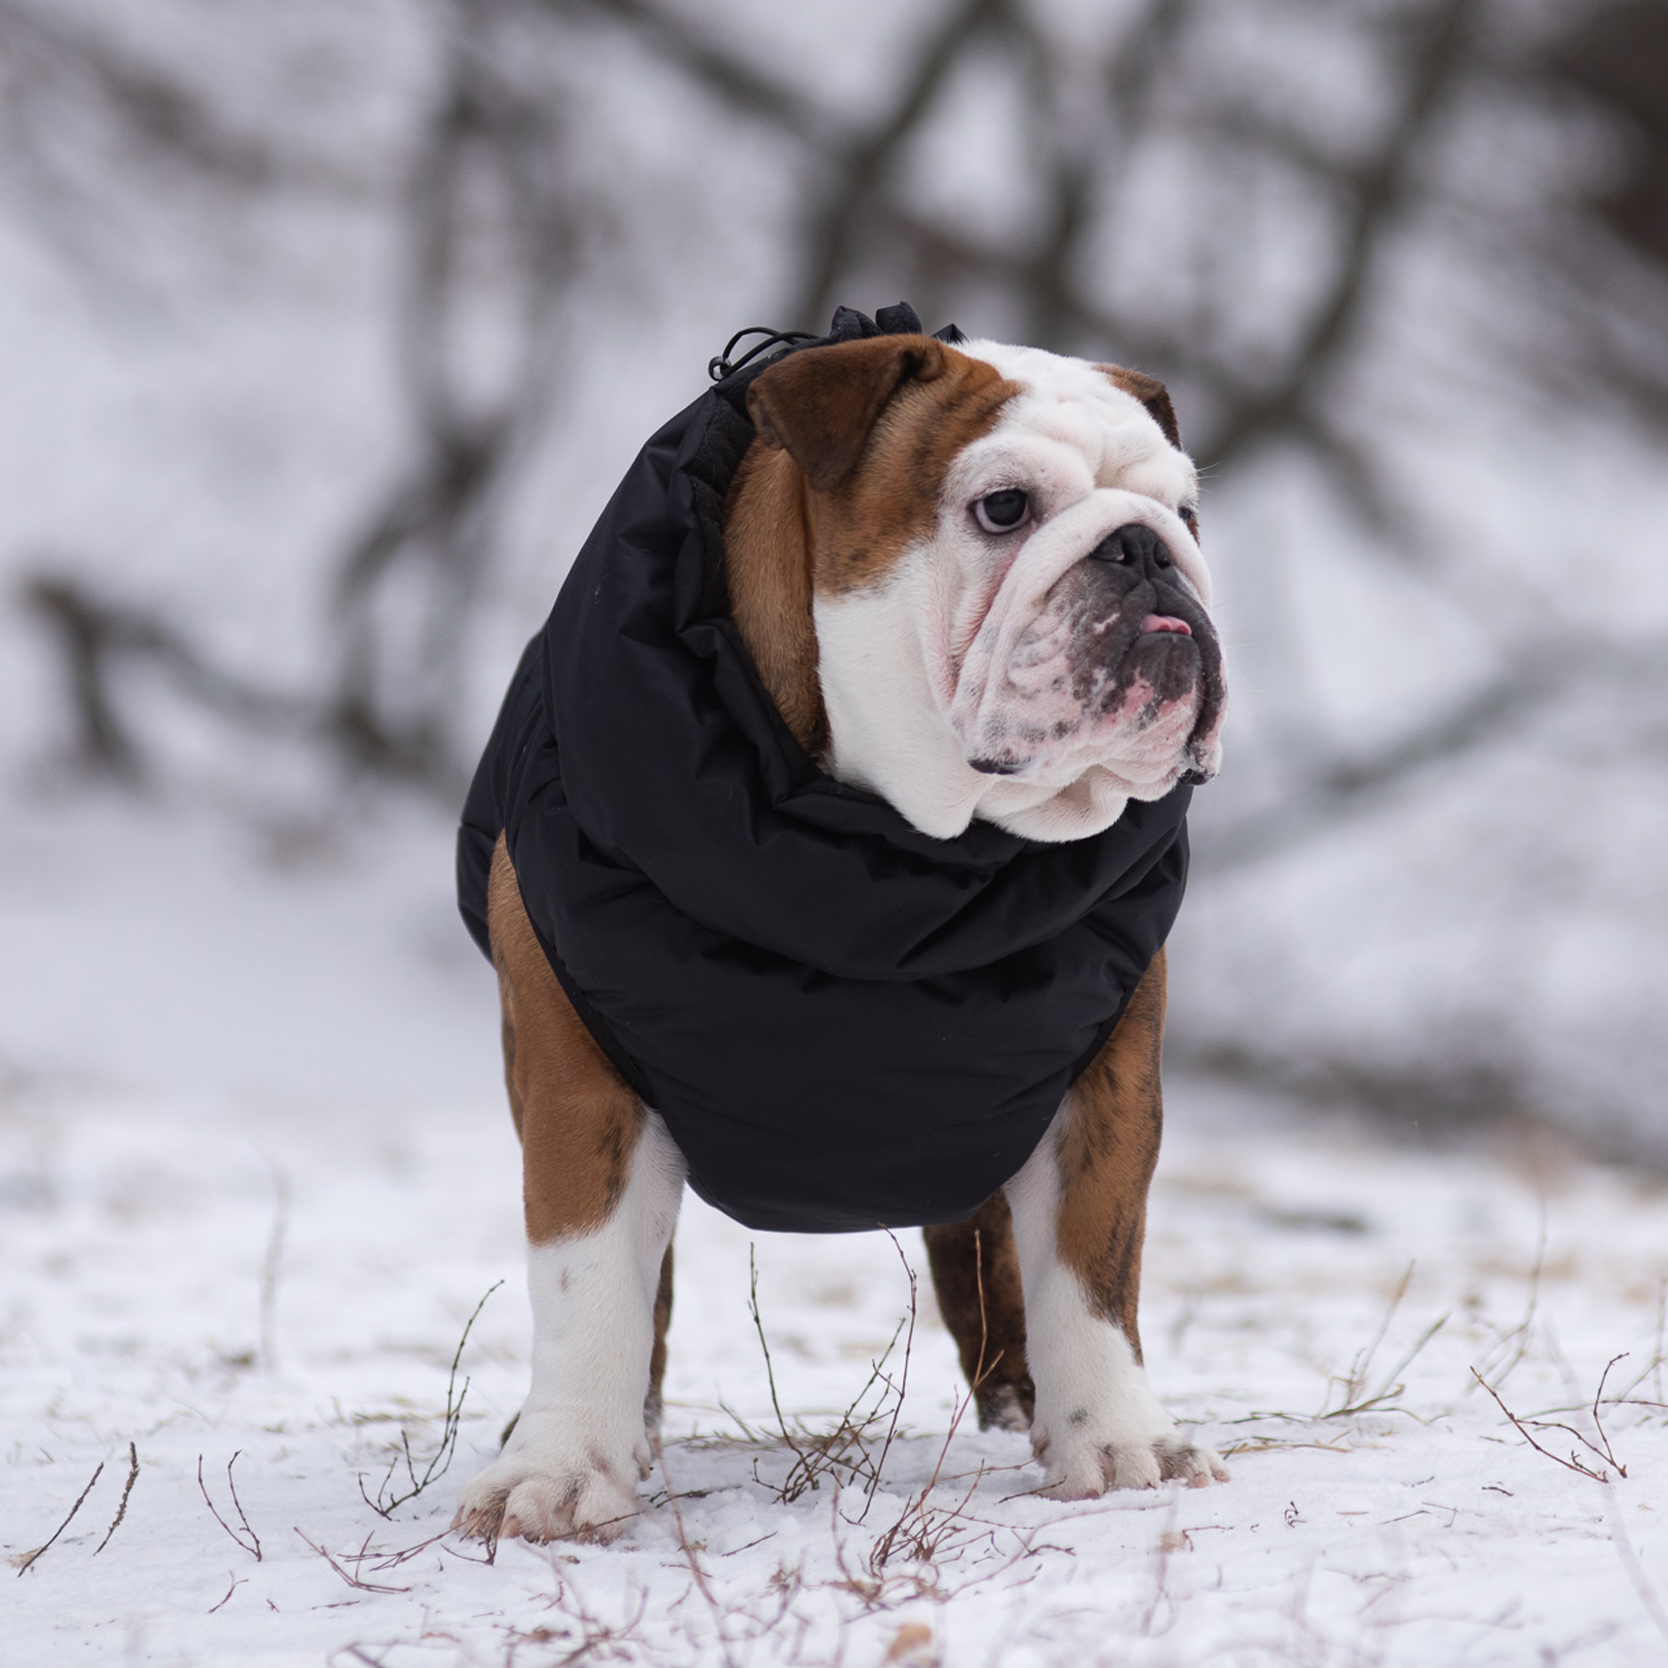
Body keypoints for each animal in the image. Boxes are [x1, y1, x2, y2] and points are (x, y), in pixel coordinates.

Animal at [453, 306, 1227, 1541]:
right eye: (1003, 508)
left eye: (1186, 514)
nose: (1146, 550)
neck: (892, 875)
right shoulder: (580, 1082)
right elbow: (589, 1280)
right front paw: (564, 1467)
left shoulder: (1102, 1083)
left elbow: (1090, 1269)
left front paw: (1117, 1441)